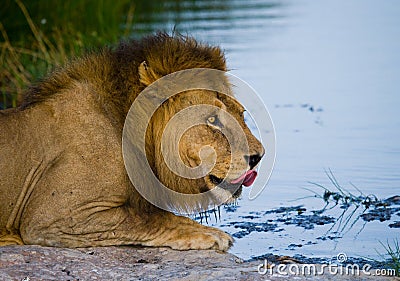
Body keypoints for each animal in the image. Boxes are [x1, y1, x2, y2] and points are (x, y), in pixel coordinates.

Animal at [0, 32, 266, 249]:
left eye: (241, 113)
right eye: (212, 119)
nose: (258, 157)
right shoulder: (54, 217)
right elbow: (148, 218)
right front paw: (212, 235)